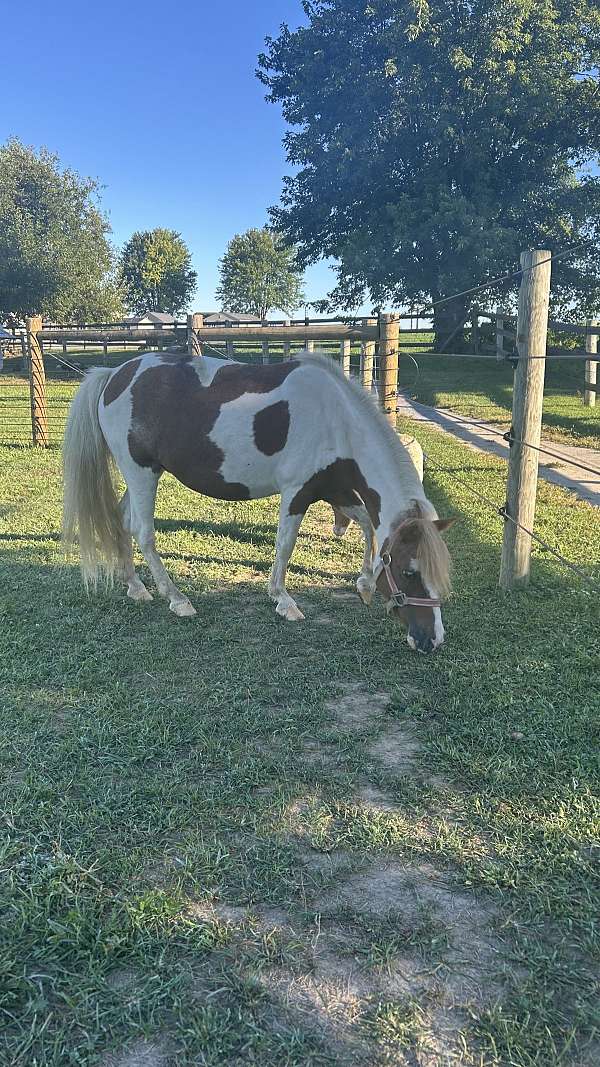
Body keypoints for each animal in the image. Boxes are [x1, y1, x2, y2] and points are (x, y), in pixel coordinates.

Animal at [62, 350, 454, 652]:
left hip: (141, 475)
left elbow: (367, 527)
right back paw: (177, 598)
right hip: (141, 472)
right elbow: (285, 544)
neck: (336, 420)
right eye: (409, 572)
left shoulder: (335, 490)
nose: (431, 641)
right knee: (144, 533)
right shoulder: (297, 492)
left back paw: (135, 586)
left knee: (123, 521)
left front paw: (365, 583)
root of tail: (114, 376)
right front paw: (283, 599)